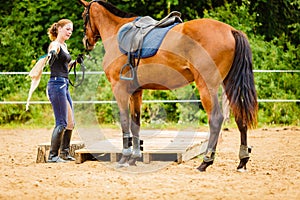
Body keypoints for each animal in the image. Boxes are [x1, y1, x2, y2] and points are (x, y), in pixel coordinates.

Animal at [79, 0, 258, 172]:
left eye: (83, 16)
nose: (86, 42)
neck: (117, 33)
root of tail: (231, 30)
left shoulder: (120, 89)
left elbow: (124, 122)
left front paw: (124, 158)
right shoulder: (136, 92)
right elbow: (135, 123)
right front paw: (134, 158)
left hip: (207, 87)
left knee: (215, 119)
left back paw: (205, 162)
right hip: (229, 85)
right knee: (240, 118)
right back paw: (242, 161)